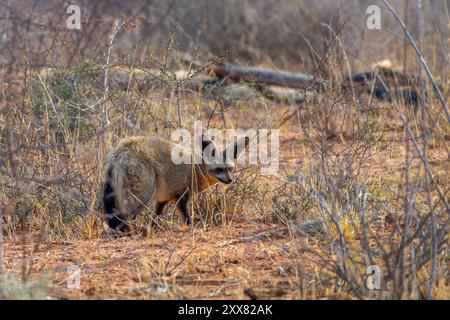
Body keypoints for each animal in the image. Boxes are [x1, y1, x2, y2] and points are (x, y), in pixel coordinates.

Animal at [103, 134, 250, 234]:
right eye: (219, 169)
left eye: (230, 169)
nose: (230, 180)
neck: (195, 168)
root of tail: (124, 150)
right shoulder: (181, 196)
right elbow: (187, 218)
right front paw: (192, 230)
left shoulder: (162, 198)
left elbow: (155, 218)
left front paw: (151, 230)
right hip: (143, 196)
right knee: (124, 215)